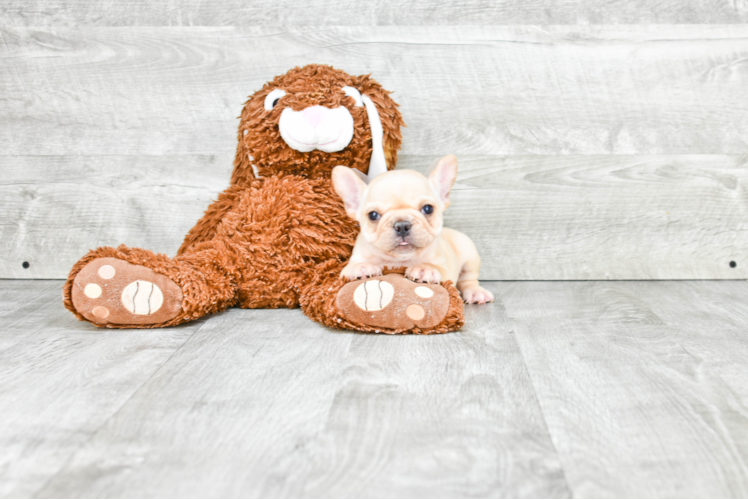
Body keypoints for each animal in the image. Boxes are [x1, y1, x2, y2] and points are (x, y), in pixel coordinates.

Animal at [330, 156, 494, 304]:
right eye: (373, 215)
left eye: (428, 209)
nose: (402, 225)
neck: (399, 261)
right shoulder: (347, 268)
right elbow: (351, 268)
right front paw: (361, 268)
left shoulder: (445, 269)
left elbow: (437, 268)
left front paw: (425, 269)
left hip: (470, 254)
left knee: (469, 279)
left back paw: (476, 292)